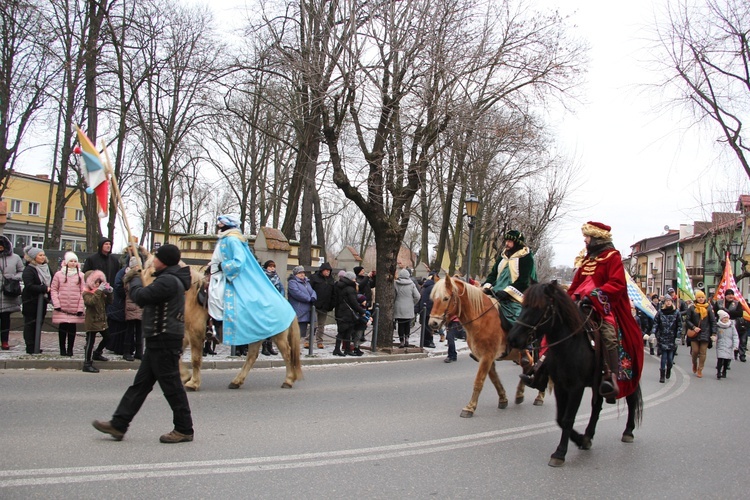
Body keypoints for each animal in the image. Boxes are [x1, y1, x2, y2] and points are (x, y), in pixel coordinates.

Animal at [140, 260, 304, 392]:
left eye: (154, 273)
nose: (143, 295)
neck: (192, 298)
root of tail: (284, 301)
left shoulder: (196, 334)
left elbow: (195, 359)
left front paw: (193, 383)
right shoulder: (186, 334)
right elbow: (178, 355)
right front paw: (186, 376)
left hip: (279, 336)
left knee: (287, 353)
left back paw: (288, 380)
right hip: (256, 336)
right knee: (252, 357)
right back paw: (236, 381)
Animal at [426, 274, 544, 418]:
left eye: (445, 298)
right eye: (433, 299)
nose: (433, 323)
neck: (481, 318)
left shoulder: (487, 356)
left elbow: (479, 381)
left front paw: (470, 407)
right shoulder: (485, 357)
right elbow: (494, 379)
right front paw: (503, 399)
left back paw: (540, 396)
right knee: (528, 365)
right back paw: (519, 394)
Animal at [508, 284, 644, 466]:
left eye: (539, 307)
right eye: (524, 305)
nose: (513, 338)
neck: (569, 345)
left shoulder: (576, 388)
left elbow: (567, 419)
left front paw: (560, 453)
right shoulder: (560, 386)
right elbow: (560, 418)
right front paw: (580, 439)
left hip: (629, 378)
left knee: (631, 400)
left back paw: (628, 431)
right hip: (597, 383)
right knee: (596, 406)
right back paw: (588, 435)